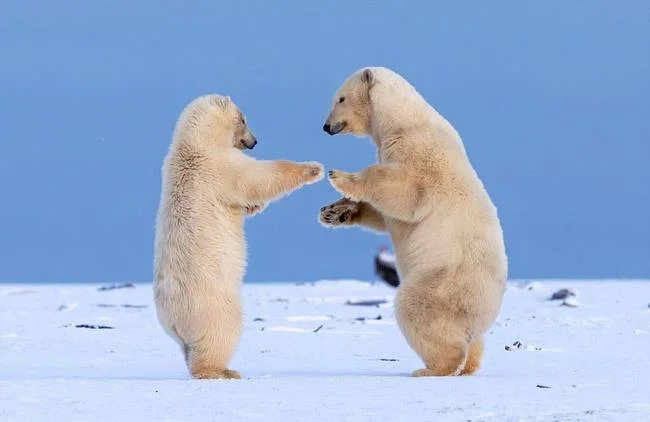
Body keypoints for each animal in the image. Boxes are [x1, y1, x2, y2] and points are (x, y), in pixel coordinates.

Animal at [154, 94, 324, 379]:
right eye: (243, 118)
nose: (254, 141)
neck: (194, 143)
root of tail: (171, 319)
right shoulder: (218, 166)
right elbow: (257, 178)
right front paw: (314, 168)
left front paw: (254, 208)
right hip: (211, 303)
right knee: (221, 331)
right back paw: (222, 371)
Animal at [319, 67, 508, 376]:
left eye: (340, 99)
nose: (326, 126)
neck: (402, 120)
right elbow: (383, 215)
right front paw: (334, 212)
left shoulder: (420, 153)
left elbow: (403, 195)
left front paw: (339, 176)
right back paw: (467, 365)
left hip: (442, 281)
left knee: (418, 310)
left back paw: (432, 368)